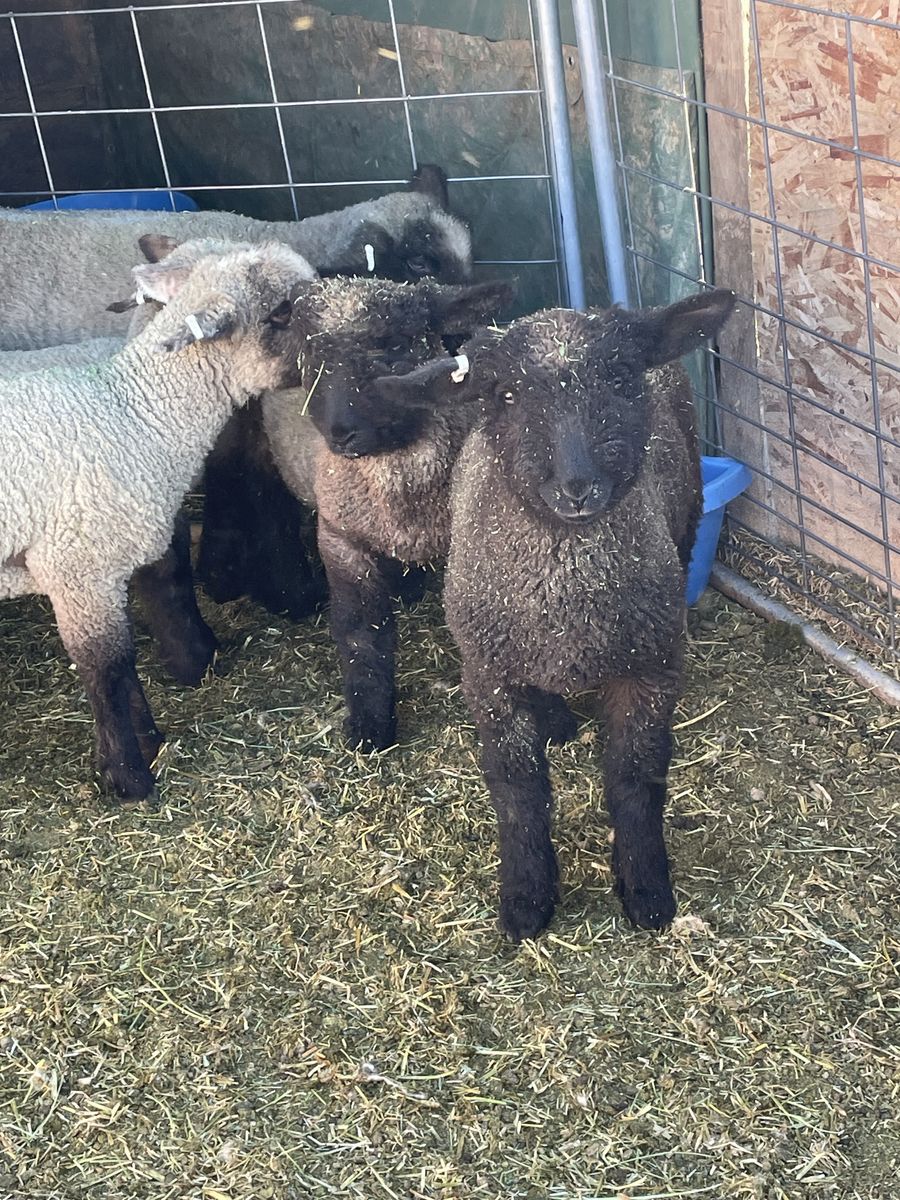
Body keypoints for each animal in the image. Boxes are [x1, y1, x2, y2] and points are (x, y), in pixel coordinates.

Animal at [0, 239, 316, 800]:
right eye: (279, 312)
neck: (139, 413)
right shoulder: (77, 571)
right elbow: (106, 669)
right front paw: (127, 775)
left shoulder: (113, 564)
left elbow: (126, 660)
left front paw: (148, 739)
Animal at [364, 289, 736, 940]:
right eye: (506, 395)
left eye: (620, 378)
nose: (577, 485)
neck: (567, 611)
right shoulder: (488, 678)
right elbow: (518, 790)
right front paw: (526, 899)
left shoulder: (653, 669)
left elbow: (637, 780)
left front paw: (646, 891)